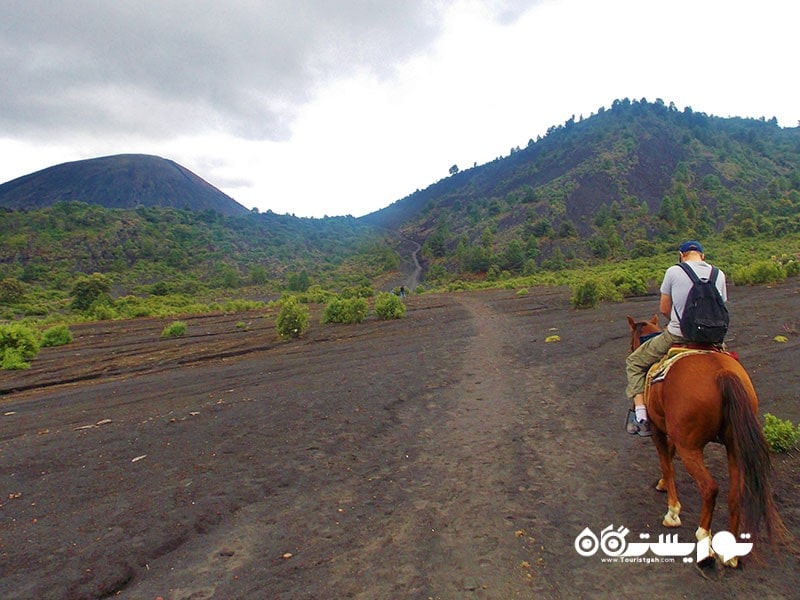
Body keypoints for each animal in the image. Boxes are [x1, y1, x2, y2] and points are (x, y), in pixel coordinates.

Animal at [624, 316, 788, 564]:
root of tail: (722, 374)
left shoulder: (659, 431)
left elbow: (666, 462)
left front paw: (672, 512)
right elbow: (669, 459)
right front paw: (662, 484)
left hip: (690, 448)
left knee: (710, 488)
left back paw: (704, 541)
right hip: (733, 446)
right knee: (735, 493)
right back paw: (730, 553)